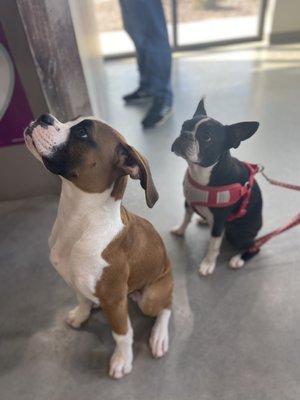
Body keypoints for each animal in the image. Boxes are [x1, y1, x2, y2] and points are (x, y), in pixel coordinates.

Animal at [24, 114, 172, 380]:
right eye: (71, 121)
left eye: (83, 133)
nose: (44, 117)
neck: (79, 221)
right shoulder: (75, 280)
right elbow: (82, 299)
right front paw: (81, 314)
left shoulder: (113, 300)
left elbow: (122, 333)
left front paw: (122, 359)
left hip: (151, 297)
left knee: (166, 307)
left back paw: (159, 337)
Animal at [171, 99, 262, 276]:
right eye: (184, 126)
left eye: (207, 137)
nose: (185, 134)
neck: (200, 172)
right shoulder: (188, 201)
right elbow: (186, 218)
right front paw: (180, 229)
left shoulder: (220, 220)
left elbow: (214, 245)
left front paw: (207, 264)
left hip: (238, 233)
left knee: (254, 246)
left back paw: (238, 259)